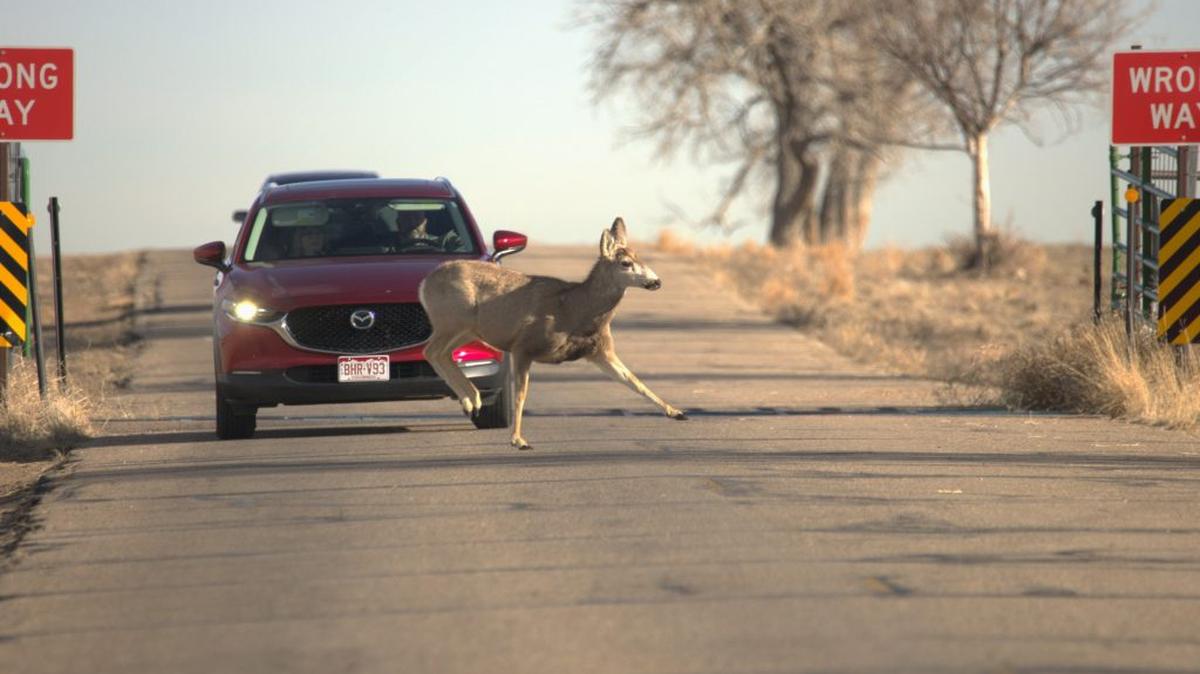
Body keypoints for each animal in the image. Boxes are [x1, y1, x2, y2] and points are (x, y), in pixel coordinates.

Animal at [418, 217, 688, 449]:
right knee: (430, 350)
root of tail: (425, 283)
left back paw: (472, 401)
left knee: (440, 354)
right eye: (625, 263)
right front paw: (519, 440)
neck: (574, 308)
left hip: (468, 330)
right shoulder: (523, 346)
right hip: (452, 320)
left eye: (640, 257)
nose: (657, 282)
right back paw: (472, 400)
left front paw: (676, 412)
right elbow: (521, 395)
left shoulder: (600, 350)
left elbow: (634, 380)